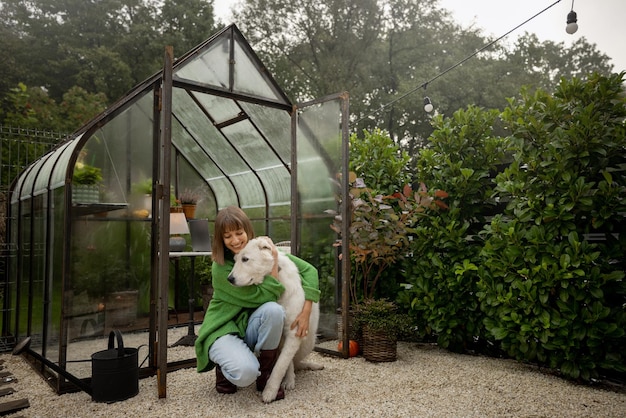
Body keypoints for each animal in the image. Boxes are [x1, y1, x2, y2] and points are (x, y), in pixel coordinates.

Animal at [227, 237, 322, 404]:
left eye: (245, 259)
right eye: (236, 260)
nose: (229, 279)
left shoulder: (294, 333)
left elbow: (280, 366)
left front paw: (269, 392)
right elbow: (283, 363)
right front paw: (275, 387)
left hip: (308, 343)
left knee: (295, 361)